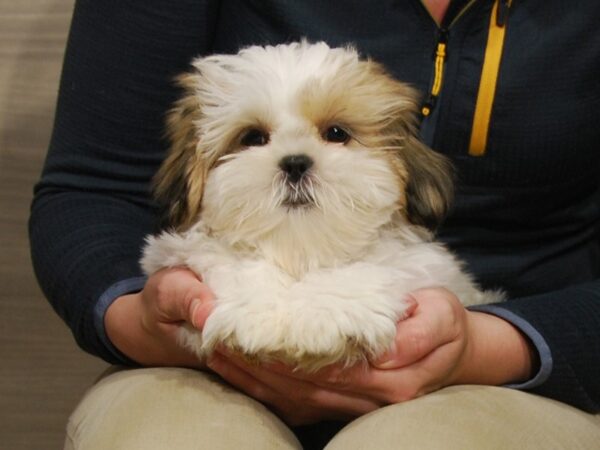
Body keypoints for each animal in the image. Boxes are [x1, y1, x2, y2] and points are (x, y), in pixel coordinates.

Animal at [142, 40, 502, 370]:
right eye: (253, 138)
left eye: (336, 133)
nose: (295, 163)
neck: (303, 250)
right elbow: (235, 263)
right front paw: (258, 317)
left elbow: (359, 270)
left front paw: (320, 317)